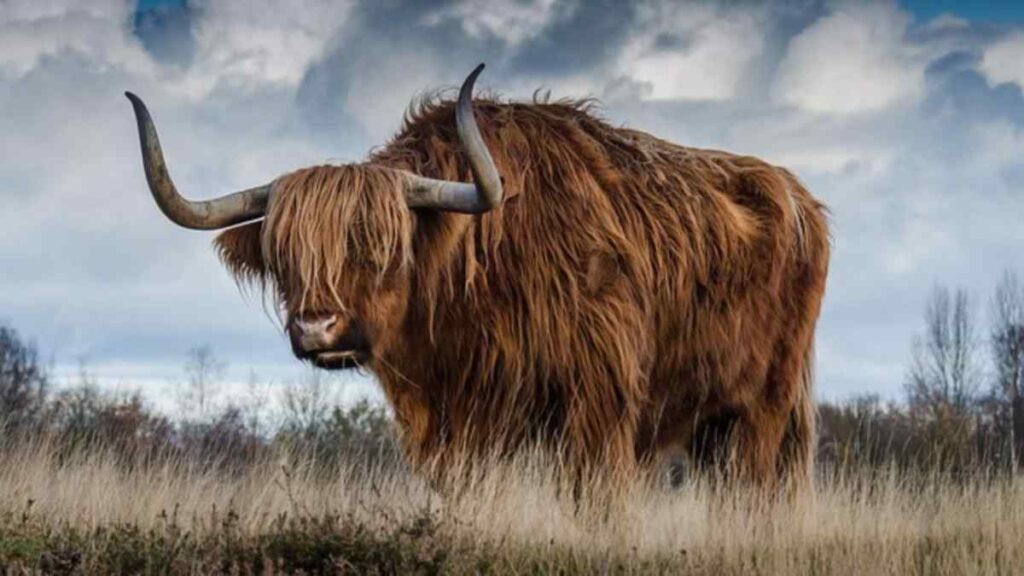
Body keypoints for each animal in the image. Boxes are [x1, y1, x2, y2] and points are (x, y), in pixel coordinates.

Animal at [125, 64, 830, 490]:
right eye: (285, 256)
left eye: (381, 246)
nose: (318, 329)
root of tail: (799, 197)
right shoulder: (452, 422)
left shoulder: (599, 402)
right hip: (713, 420)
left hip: (764, 406)